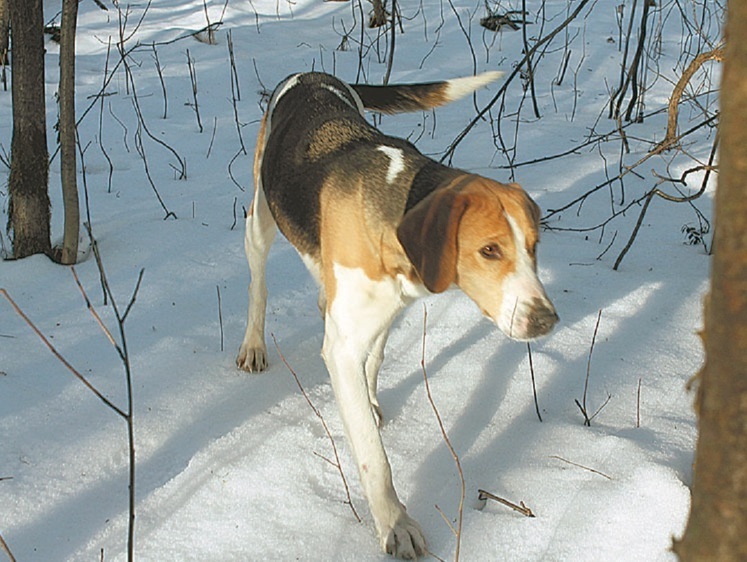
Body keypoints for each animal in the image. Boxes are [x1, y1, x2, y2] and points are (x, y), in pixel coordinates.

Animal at [237, 72, 560, 556]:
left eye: (534, 247)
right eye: (489, 250)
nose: (545, 321)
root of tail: (313, 74)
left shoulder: (389, 309)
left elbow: (374, 359)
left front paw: (370, 404)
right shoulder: (346, 343)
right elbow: (375, 458)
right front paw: (396, 524)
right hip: (259, 221)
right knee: (257, 286)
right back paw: (254, 345)